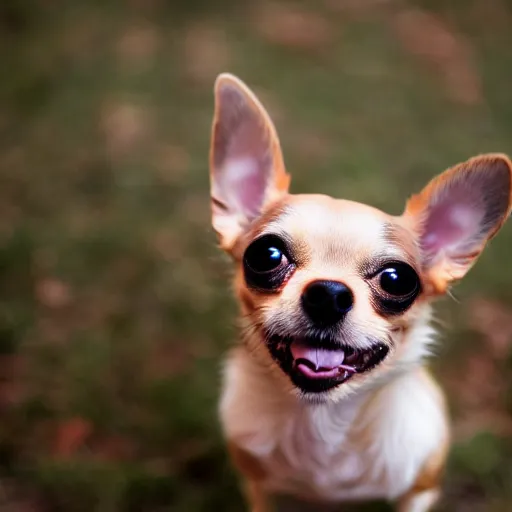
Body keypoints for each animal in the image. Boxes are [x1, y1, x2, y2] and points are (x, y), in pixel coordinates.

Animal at [207, 73, 512, 512]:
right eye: (266, 255)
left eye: (397, 279)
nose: (328, 293)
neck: (323, 427)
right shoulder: (258, 487)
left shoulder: (421, 490)